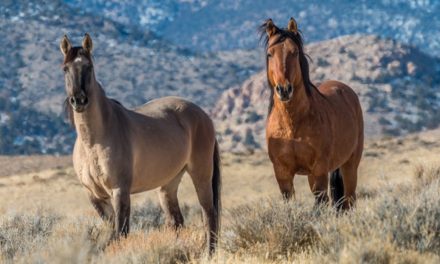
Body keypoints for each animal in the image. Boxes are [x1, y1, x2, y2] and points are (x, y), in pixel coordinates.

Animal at [60, 33, 222, 254]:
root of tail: (204, 116)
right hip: (168, 185)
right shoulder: (95, 196)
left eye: (89, 67)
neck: (93, 142)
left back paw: (209, 254)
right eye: (65, 68)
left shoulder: (120, 191)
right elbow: (111, 234)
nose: (79, 100)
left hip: (201, 175)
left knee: (209, 215)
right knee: (177, 221)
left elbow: (120, 234)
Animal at [262, 17, 364, 209]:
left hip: (350, 165)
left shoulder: (318, 171)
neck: (292, 125)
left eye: (294, 52)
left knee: (350, 199)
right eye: (270, 54)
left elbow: (320, 203)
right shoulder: (282, 174)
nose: (284, 90)